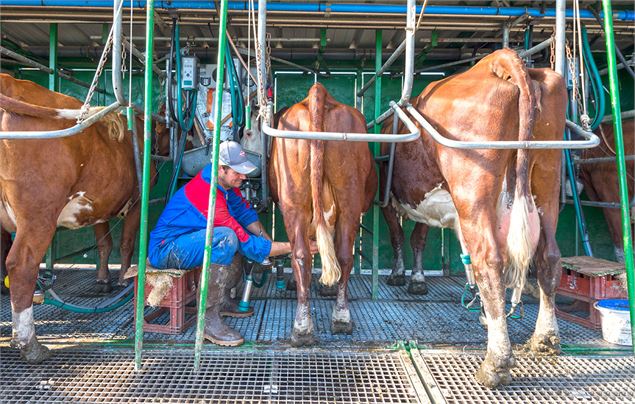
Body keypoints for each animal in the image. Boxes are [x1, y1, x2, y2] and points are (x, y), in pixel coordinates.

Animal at [0, 73, 164, 362]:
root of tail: (9, 80)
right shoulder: (135, 202)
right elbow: (126, 243)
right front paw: (122, 278)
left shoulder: (96, 205)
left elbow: (104, 243)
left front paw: (103, 279)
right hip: (38, 213)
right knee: (21, 265)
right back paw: (30, 344)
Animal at [268, 83, 378, 346]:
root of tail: (319, 94)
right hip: (348, 198)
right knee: (340, 255)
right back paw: (340, 317)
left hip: (295, 201)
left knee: (302, 254)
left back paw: (303, 325)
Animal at [380, 49, 568, 386]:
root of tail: (499, 61)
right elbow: (418, 239)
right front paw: (417, 279)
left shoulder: (392, 203)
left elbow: (401, 237)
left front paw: (401, 275)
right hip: (546, 177)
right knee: (548, 256)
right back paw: (544, 338)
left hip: (473, 185)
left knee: (489, 260)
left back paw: (496, 362)